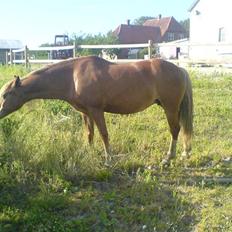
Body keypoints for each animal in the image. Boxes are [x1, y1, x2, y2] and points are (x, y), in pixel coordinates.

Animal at [0, 56, 192, 165]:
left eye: (5, 95)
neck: (73, 76)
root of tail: (180, 69)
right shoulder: (86, 112)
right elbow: (90, 134)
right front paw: (88, 151)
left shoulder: (97, 110)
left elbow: (103, 134)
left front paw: (108, 159)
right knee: (181, 129)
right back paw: (184, 153)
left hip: (170, 107)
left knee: (175, 129)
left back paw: (168, 158)